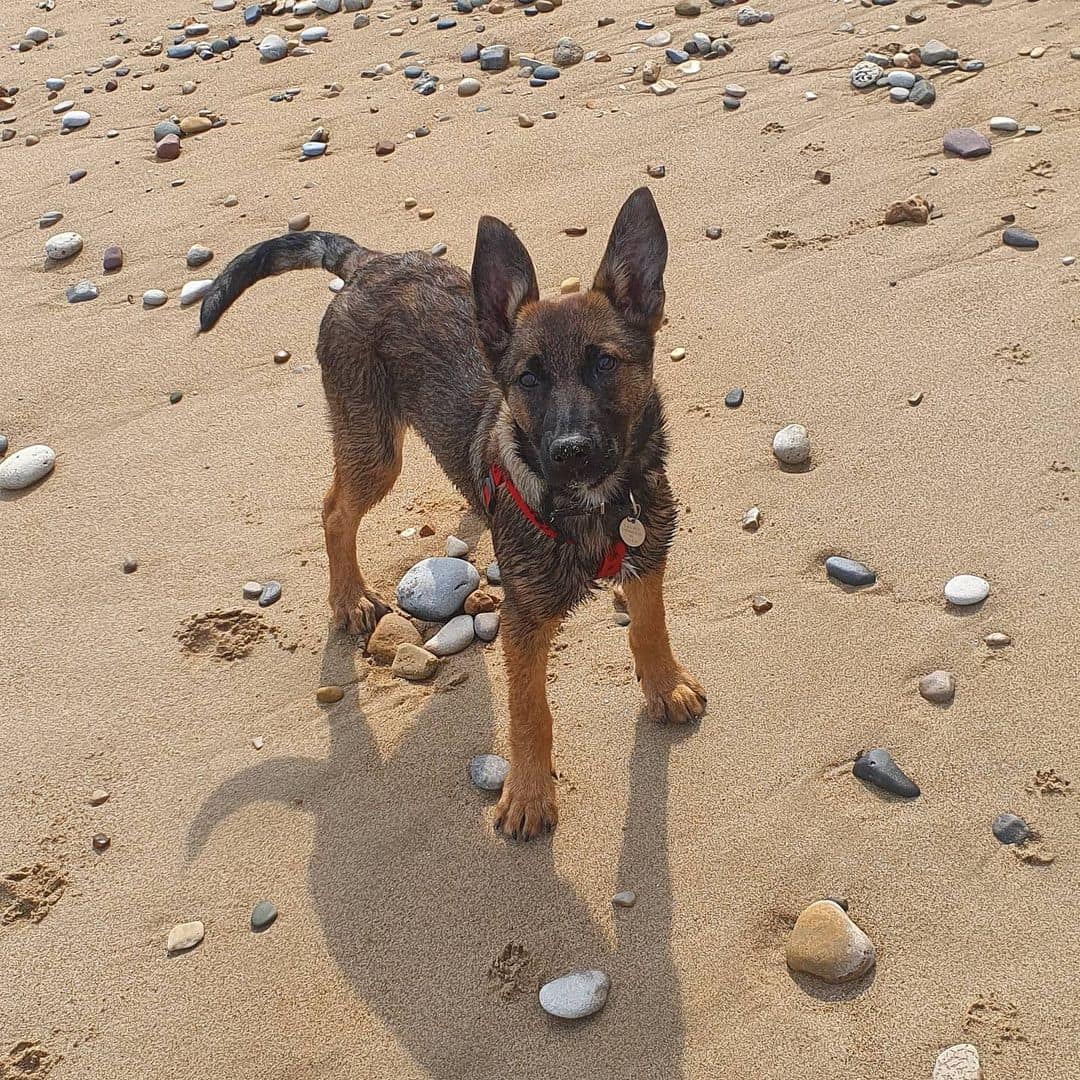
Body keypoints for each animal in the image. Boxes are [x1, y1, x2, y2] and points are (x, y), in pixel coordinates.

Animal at [200, 187, 708, 842]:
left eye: (604, 364)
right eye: (528, 378)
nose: (570, 451)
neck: (593, 504)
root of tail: (372, 263)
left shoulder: (647, 554)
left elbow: (649, 626)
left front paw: (665, 684)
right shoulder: (524, 622)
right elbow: (530, 713)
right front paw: (529, 793)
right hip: (373, 445)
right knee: (335, 510)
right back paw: (350, 596)